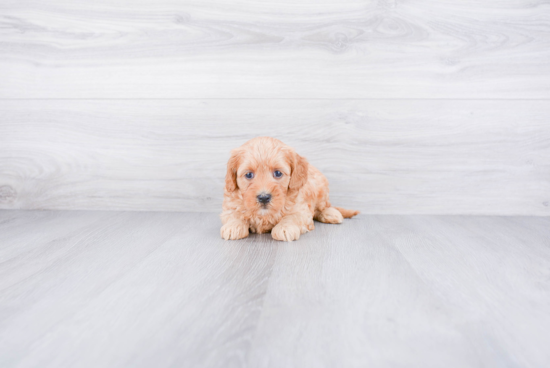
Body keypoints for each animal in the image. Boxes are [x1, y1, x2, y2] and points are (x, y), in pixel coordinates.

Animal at [221, 137, 362, 242]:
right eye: (249, 175)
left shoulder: (301, 210)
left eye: (278, 173)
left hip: (321, 188)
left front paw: (284, 228)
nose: (264, 197)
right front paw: (233, 226)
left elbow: (292, 217)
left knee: (323, 207)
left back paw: (331, 213)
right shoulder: (229, 205)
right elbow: (233, 214)